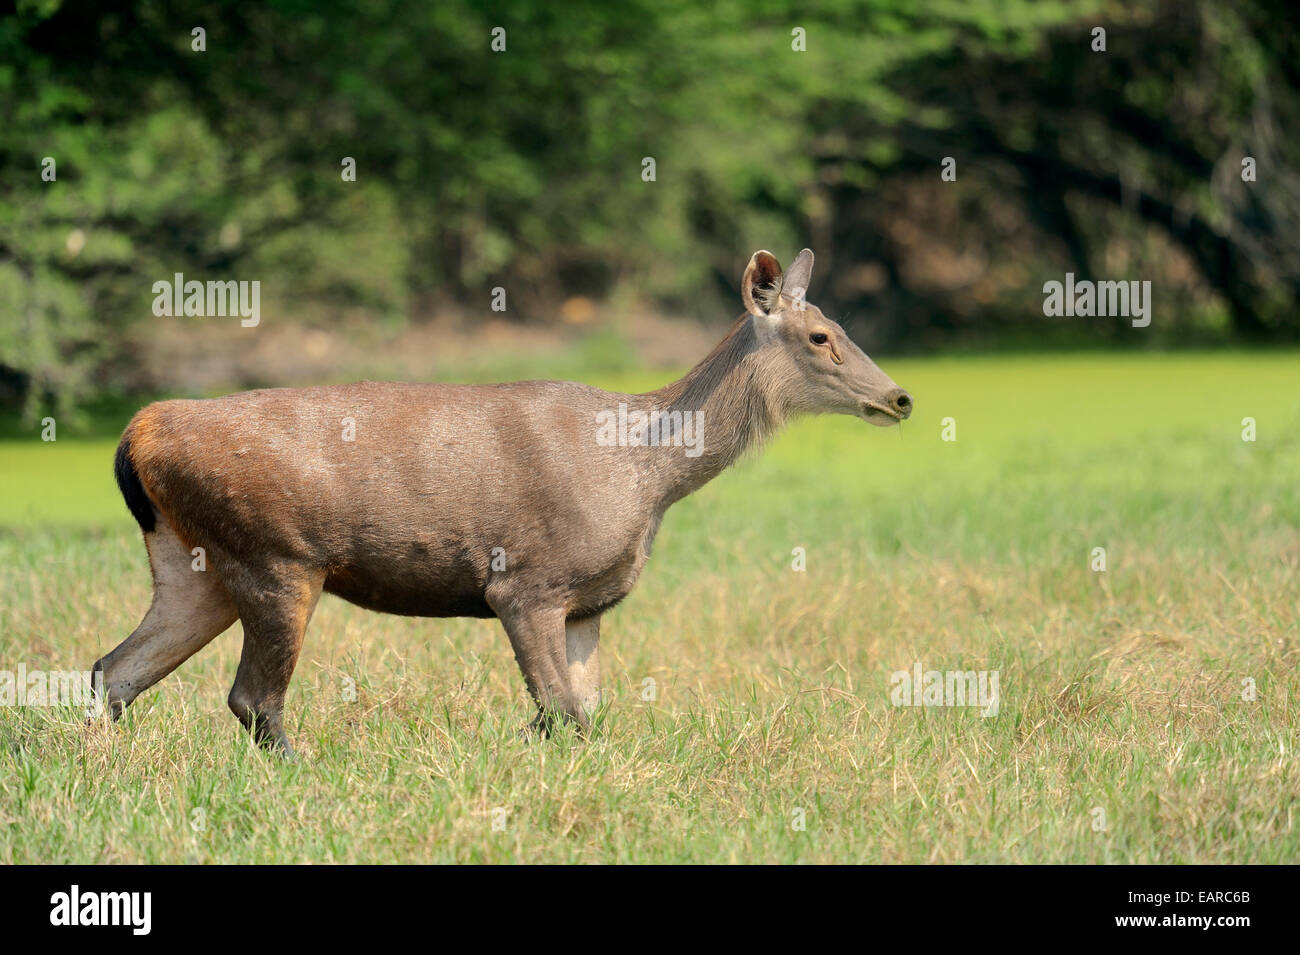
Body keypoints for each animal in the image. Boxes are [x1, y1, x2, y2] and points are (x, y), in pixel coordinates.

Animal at [91, 250, 909, 758]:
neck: (648, 475)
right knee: (251, 698)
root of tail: (139, 433)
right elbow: (559, 709)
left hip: (194, 564)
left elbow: (580, 713)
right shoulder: (526, 583)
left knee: (113, 670)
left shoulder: (587, 603)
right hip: (278, 554)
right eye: (821, 335)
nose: (899, 397)